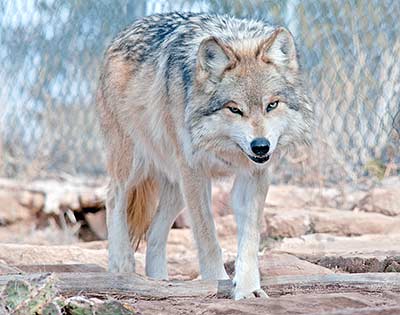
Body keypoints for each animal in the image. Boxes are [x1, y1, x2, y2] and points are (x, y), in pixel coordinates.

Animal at [96, 11, 312, 298]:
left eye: (272, 105)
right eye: (234, 109)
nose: (261, 146)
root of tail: (123, 32)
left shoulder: (254, 175)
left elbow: (250, 238)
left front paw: (248, 288)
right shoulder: (195, 173)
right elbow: (208, 236)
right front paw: (216, 280)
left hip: (176, 185)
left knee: (154, 232)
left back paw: (160, 282)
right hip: (135, 164)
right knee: (113, 198)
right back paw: (122, 267)